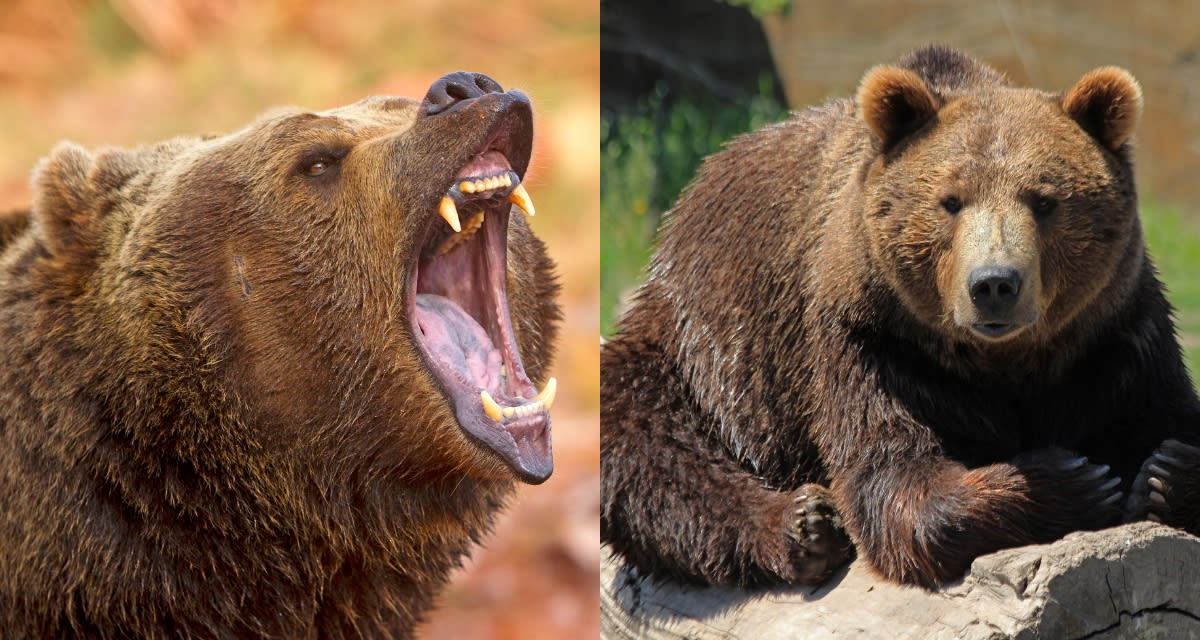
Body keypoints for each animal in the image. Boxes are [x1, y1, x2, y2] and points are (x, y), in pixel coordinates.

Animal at [601, 45, 1200, 589]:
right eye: (951, 201)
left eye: (1044, 200)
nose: (994, 284)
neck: (1004, 364)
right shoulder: (874, 342)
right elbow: (894, 481)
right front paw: (1073, 480)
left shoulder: (1115, 335)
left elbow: (1166, 415)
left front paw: (1163, 472)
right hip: (701, 344)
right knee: (645, 439)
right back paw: (804, 525)